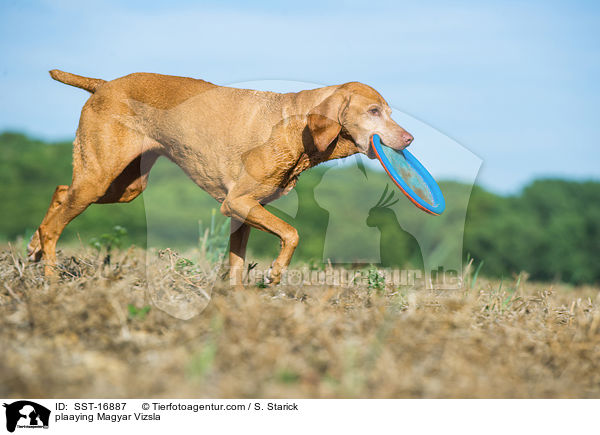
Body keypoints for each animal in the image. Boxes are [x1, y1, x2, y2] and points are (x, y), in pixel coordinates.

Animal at [28, 70, 412, 288]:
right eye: (374, 111)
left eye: (389, 112)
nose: (409, 139)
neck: (295, 126)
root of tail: (103, 85)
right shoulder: (237, 203)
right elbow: (292, 233)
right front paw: (274, 274)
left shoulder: (244, 213)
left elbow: (237, 264)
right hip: (100, 178)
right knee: (54, 226)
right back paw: (50, 281)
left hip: (124, 186)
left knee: (61, 191)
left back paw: (32, 247)